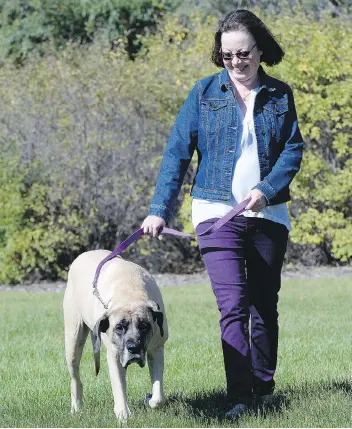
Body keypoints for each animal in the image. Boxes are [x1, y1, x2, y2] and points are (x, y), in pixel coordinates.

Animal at [63, 249, 168, 420]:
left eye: (144, 326)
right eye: (119, 327)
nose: (133, 347)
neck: (130, 293)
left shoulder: (157, 348)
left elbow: (158, 396)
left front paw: (150, 399)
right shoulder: (114, 355)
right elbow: (118, 385)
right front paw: (122, 414)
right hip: (73, 341)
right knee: (75, 377)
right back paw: (76, 406)